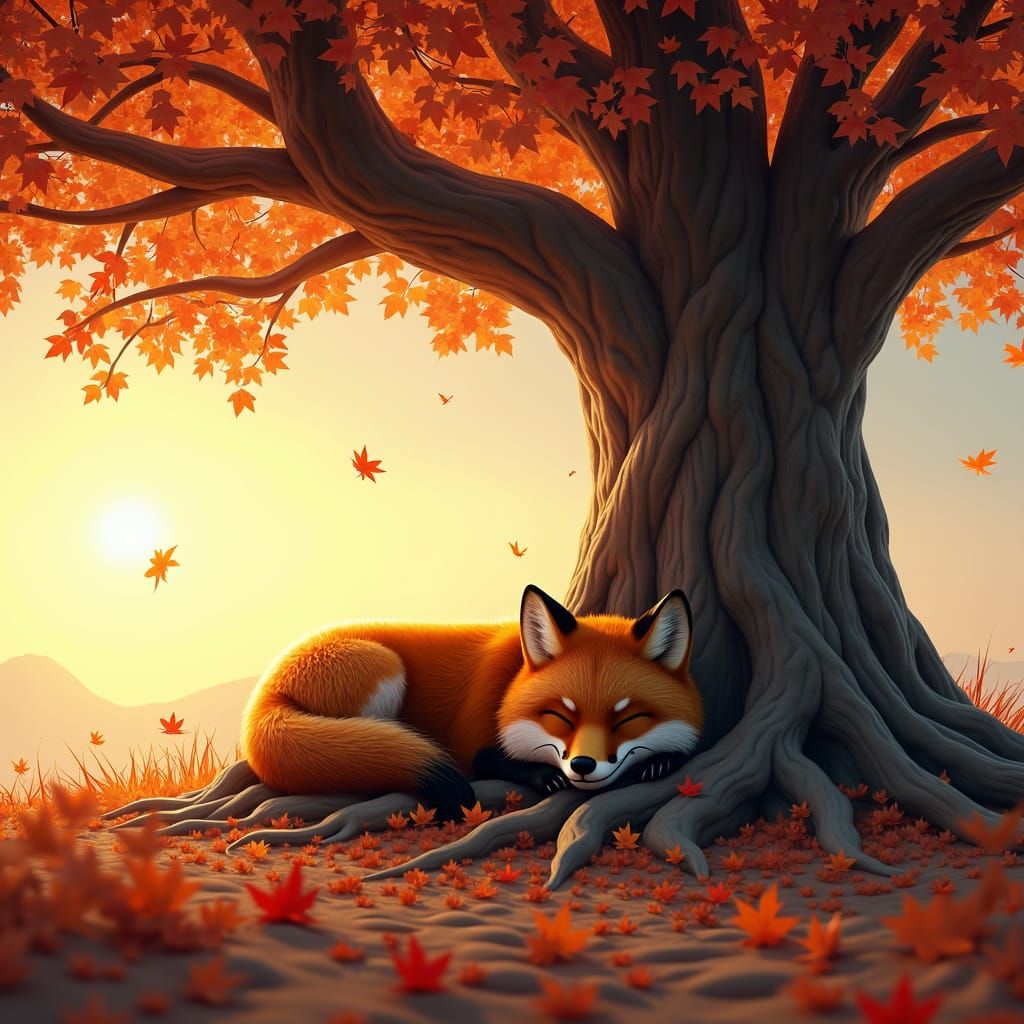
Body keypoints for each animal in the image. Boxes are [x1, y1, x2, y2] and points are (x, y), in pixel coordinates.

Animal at [240, 585, 703, 822]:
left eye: (628, 719)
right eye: (559, 716)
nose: (583, 766)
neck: (512, 673)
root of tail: (266, 688)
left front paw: (661, 761)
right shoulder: (469, 737)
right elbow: (489, 759)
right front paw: (542, 776)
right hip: (387, 669)